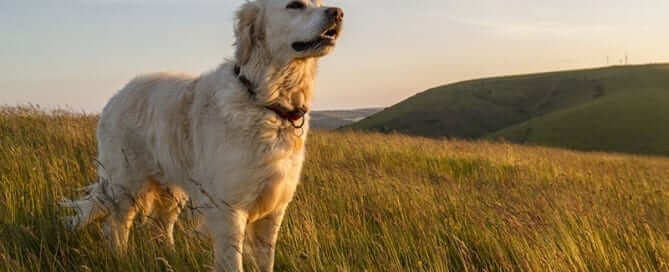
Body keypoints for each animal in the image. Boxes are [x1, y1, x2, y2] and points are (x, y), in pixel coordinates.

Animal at [59, 1, 342, 270]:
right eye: (295, 5)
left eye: (319, 3)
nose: (338, 13)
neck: (266, 100)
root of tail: (117, 96)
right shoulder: (229, 210)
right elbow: (232, 262)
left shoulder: (273, 210)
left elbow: (265, 261)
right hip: (126, 184)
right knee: (117, 226)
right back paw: (121, 258)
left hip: (170, 191)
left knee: (159, 227)